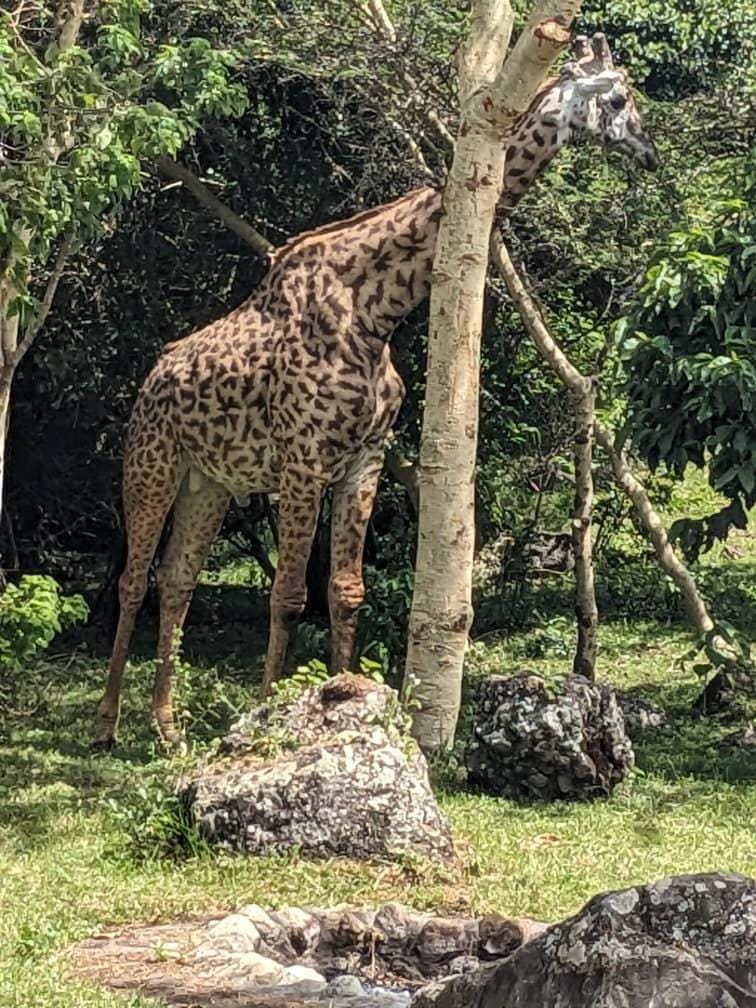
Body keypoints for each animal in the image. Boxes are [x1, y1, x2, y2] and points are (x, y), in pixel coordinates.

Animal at [95, 34, 659, 748]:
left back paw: (167, 728)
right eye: (616, 98)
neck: (373, 309)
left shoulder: (362, 458)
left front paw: (343, 702)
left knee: (177, 581)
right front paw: (266, 719)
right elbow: (288, 595)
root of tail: (152, 377)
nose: (650, 151)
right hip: (152, 464)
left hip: (210, 483)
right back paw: (108, 724)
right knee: (133, 579)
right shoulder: (304, 461)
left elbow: (345, 590)